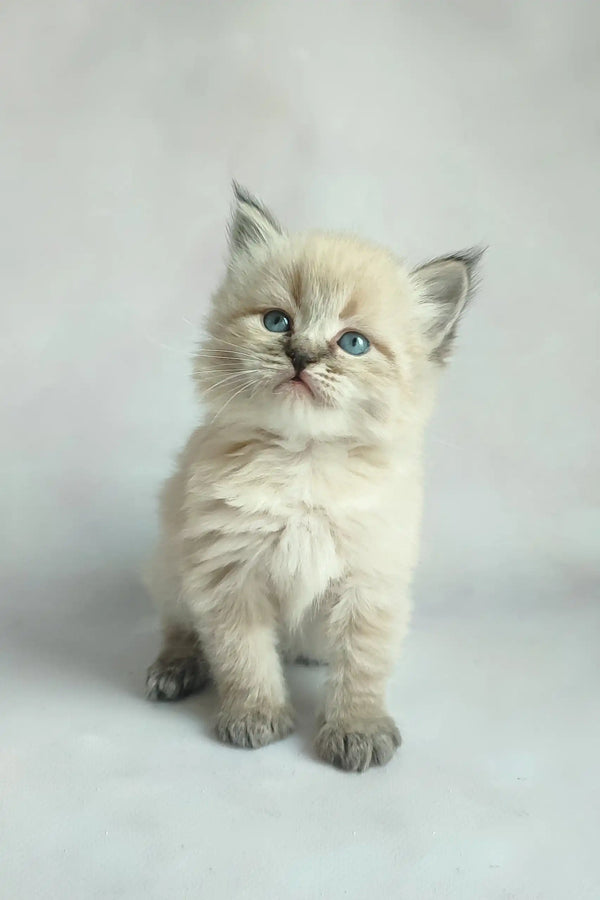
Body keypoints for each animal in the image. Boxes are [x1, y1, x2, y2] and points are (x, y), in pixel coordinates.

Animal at [146, 185, 482, 772]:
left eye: (353, 343)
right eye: (277, 322)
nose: (301, 355)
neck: (304, 462)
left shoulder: (369, 581)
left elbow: (363, 666)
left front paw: (356, 730)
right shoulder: (229, 573)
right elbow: (244, 657)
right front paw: (255, 717)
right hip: (172, 562)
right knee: (180, 625)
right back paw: (177, 669)